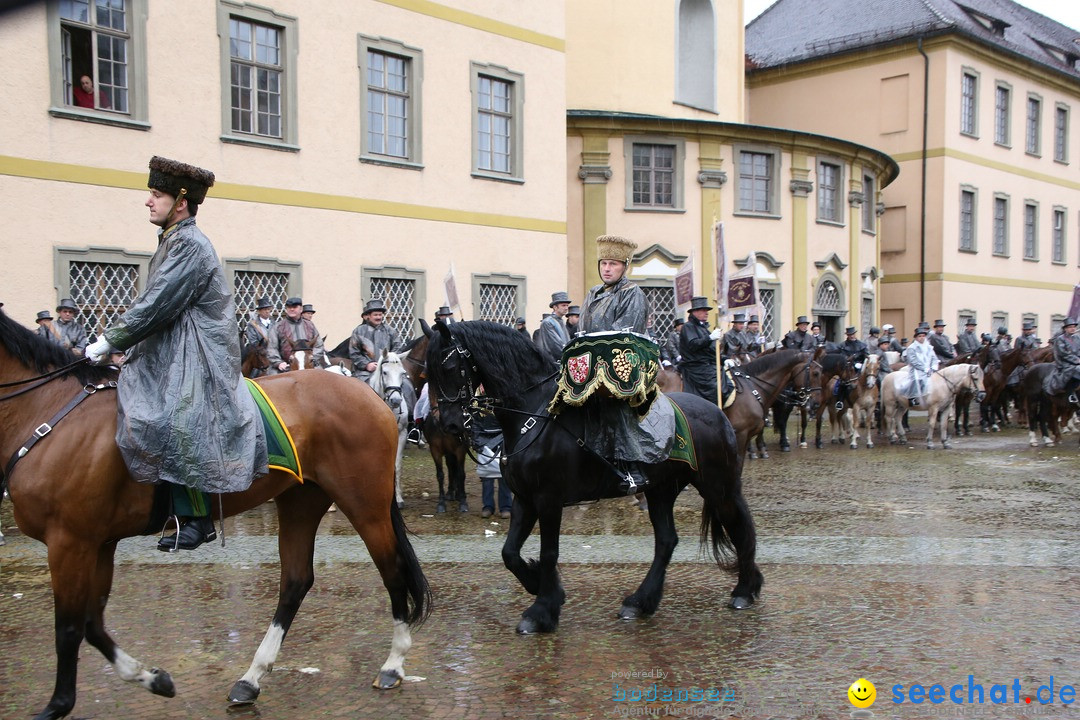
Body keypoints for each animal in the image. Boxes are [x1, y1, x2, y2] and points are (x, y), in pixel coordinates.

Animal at [0, 310, 429, 720]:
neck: (49, 413)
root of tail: (370, 396)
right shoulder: (97, 542)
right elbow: (92, 623)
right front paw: (152, 679)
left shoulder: (69, 542)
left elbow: (69, 628)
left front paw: (58, 704)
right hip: (301, 502)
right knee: (295, 582)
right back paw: (251, 678)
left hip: (365, 505)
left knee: (392, 572)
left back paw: (393, 664)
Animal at [425, 319, 764, 630]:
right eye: (428, 373)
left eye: (450, 366)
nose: (449, 424)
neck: (534, 417)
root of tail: (717, 411)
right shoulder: (524, 498)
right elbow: (509, 552)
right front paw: (537, 584)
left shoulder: (548, 500)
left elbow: (549, 552)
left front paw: (542, 610)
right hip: (661, 490)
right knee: (667, 541)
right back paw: (640, 602)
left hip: (719, 486)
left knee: (740, 526)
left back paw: (744, 590)